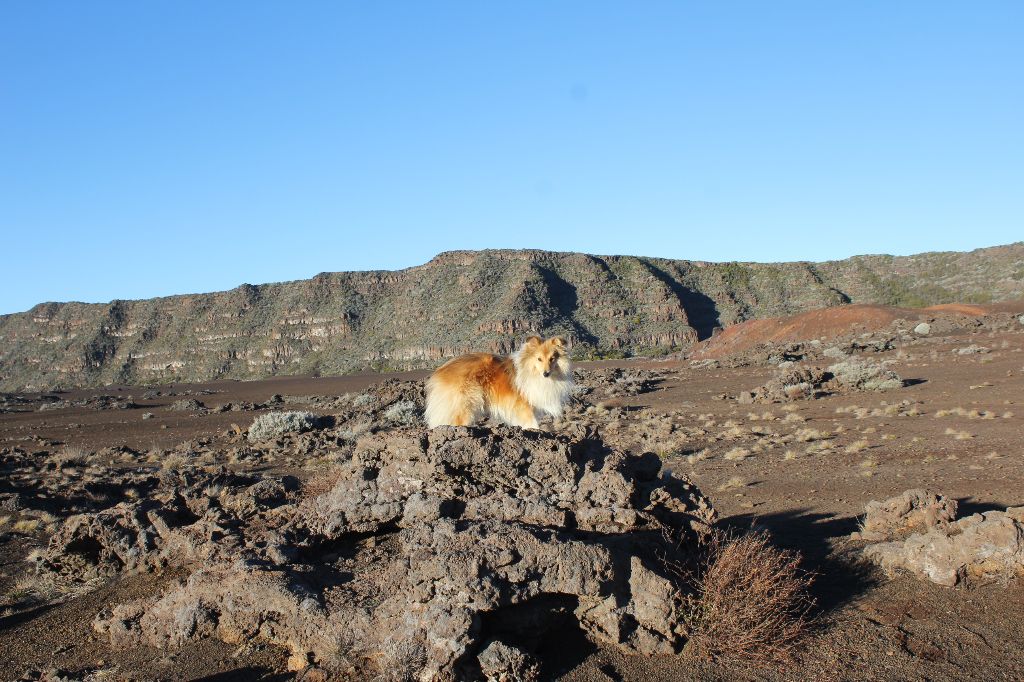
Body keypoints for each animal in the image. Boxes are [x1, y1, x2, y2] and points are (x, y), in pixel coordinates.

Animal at [419, 333, 573, 425]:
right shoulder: (523, 407)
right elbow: (532, 425)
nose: (546, 374)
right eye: (539, 359)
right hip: (465, 405)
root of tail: (441, 370)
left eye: (552, 358)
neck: (531, 370)